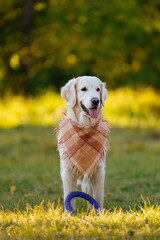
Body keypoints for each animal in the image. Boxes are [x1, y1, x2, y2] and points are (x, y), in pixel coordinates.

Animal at [56, 76, 110, 209]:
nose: (96, 100)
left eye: (98, 89)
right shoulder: (67, 172)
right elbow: (69, 196)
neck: (85, 126)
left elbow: (97, 197)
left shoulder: (98, 171)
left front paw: (98, 212)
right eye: (83, 89)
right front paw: (69, 213)